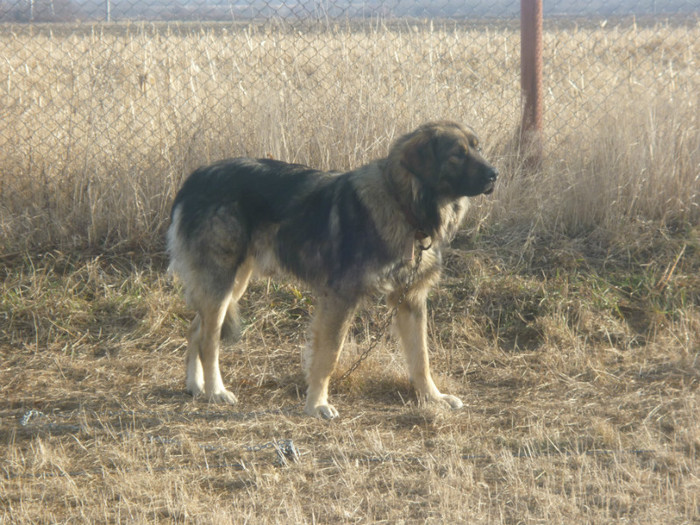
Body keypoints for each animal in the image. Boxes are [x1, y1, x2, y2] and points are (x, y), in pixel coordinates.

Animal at [167, 119, 498, 418]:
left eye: (478, 148)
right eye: (457, 154)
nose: (495, 174)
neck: (403, 203)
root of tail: (196, 177)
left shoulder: (411, 300)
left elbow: (421, 358)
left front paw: (433, 398)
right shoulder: (340, 299)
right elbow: (329, 355)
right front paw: (316, 404)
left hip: (235, 282)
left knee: (195, 329)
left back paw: (195, 386)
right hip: (222, 280)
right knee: (209, 340)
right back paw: (215, 391)